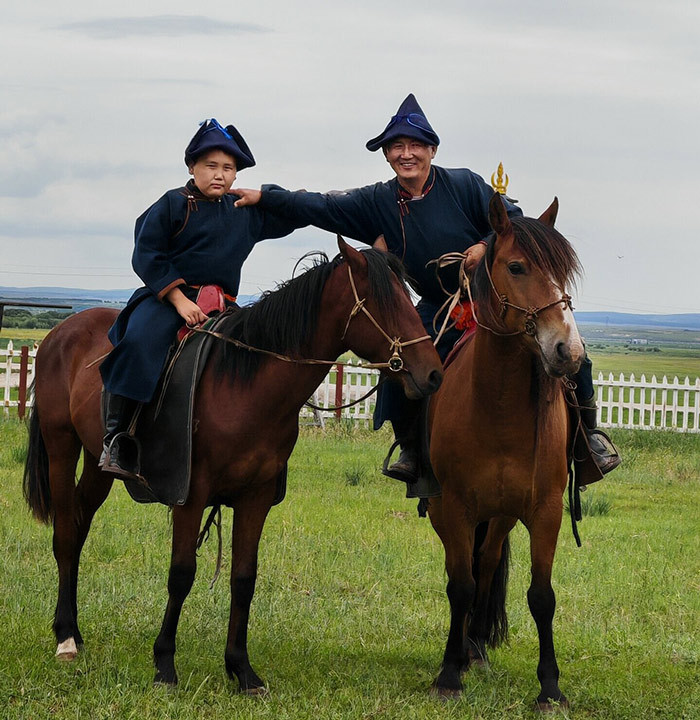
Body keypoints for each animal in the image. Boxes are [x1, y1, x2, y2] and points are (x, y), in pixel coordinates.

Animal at [23, 236, 443, 692]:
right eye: (384, 303)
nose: (433, 374)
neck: (244, 385)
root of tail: (60, 333)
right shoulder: (189, 495)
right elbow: (181, 574)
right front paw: (164, 664)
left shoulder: (255, 498)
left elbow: (244, 579)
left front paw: (241, 669)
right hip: (61, 446)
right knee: (66, 535)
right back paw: (65, 636)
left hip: (98, 466)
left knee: (79, 526)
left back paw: (74, 629)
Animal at [427, 194, 584, 710]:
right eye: (517, 266)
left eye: (564, 272)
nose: (568, 350)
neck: (496, 407)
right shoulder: (454, 506)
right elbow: (460, 585)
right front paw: (448, 675)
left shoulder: (544, 510)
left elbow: (541, 596)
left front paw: (550, 687)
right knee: (465, 573)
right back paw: (461, 652)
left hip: (501, 515)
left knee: (489, 561)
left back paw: (474, 646)